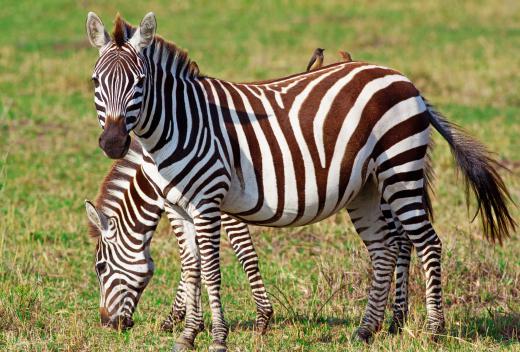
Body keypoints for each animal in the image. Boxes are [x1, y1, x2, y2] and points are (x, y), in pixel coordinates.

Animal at [84, 138, 272, 332]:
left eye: (101, 267)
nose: (106, 324)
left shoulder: (216, 202)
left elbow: (244, 252)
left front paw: (263, 317)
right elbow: (193, 261)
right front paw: (186, 318)